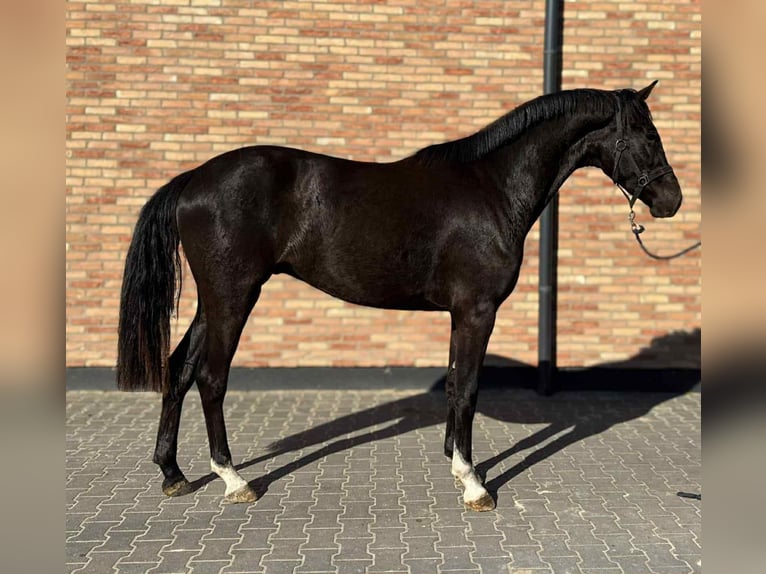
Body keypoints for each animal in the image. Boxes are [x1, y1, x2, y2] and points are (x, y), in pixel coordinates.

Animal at [117, 82, 683, 511]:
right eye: (647, 136)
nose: (671, 200)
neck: (492, 188)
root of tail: (193, 179)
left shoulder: (460, 314)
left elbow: (455, 385)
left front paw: (457, 465)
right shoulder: (477, 311)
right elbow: (469, 388)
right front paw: (474, 484)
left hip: (212, 302)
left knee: (179, 369)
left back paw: (173, 473)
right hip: (234, 297)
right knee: (211, 378)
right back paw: (235, 480)